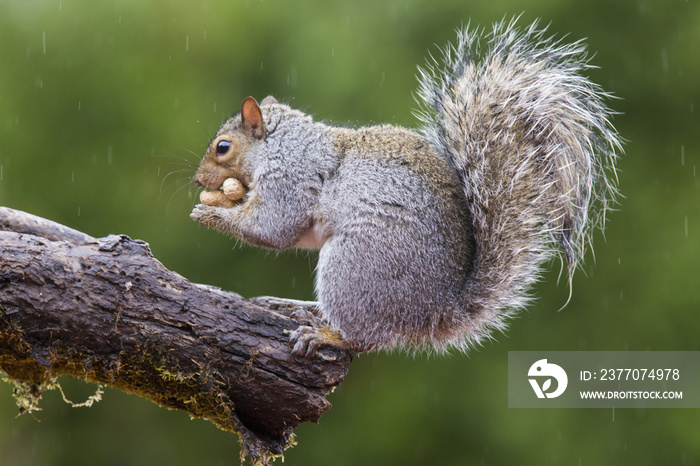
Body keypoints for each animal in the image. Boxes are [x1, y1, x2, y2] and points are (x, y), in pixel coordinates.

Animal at [189, 17, 620, 354]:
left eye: (223, 147)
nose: (196, 180)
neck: (279, 144)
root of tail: (433, 312)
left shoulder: (291, 178)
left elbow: (272, 228)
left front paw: (211, 211)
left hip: (353, 266)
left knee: (365, 338)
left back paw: (326, 333)